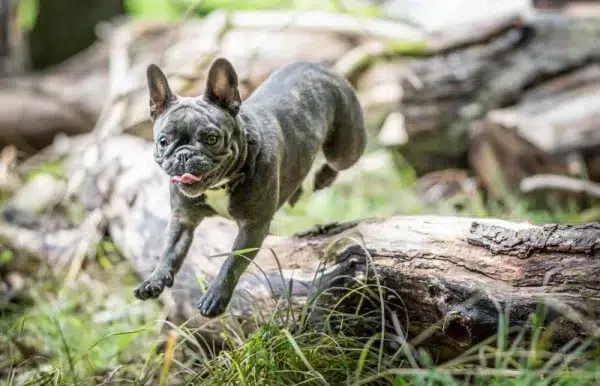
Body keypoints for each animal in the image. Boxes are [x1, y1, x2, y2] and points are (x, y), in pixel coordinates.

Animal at [134, 57, 368, 316]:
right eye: (163, 142)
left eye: (211, 139)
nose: (184, 155)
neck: (220, 185)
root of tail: (319, 66)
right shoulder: (183, 218)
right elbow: (170, 249)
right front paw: (155, 279)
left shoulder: (252, 227)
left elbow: (232, 262)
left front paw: (215, 296)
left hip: (345, 148)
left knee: (340, 161)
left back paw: (324, 176)